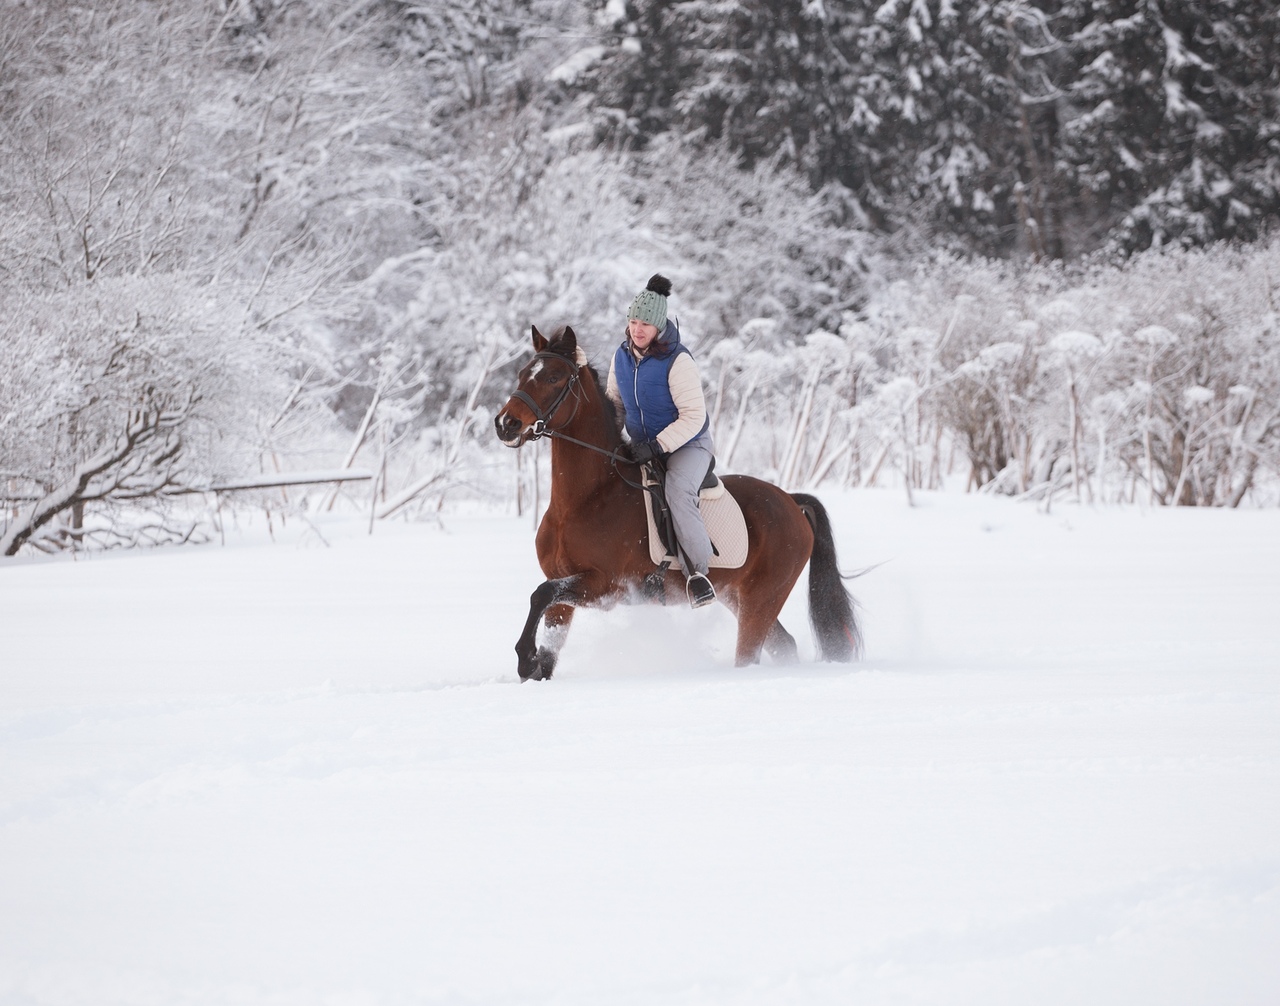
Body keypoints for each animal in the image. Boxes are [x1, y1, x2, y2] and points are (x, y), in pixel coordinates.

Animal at [488, 325, 860, 675]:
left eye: (553, 377)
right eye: (522, 373)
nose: (506, 423)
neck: (584, 500)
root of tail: (790, 501)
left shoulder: (604, 586)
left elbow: (540, 593)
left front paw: (525, 657)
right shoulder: (566, 593)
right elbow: (548, 631)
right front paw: (534, 665)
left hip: (761, 600)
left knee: (750, 653)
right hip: (738, 597)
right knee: (784, 645)